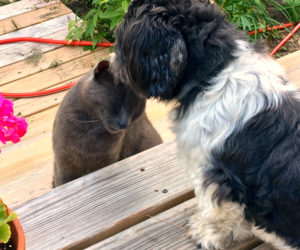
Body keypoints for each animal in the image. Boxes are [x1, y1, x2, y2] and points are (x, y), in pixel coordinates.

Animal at [52, 59, 163, 187]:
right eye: (116, 101)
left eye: (136, 108)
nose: (124, 123)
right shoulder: (63, 167)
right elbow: (62, 183)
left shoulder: (107, 161)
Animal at [109, 0, 300, 249]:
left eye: (120, 36)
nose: (110, 60)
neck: (216, 72)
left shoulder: (214, 179)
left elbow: (215, 216)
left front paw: (204, 234)